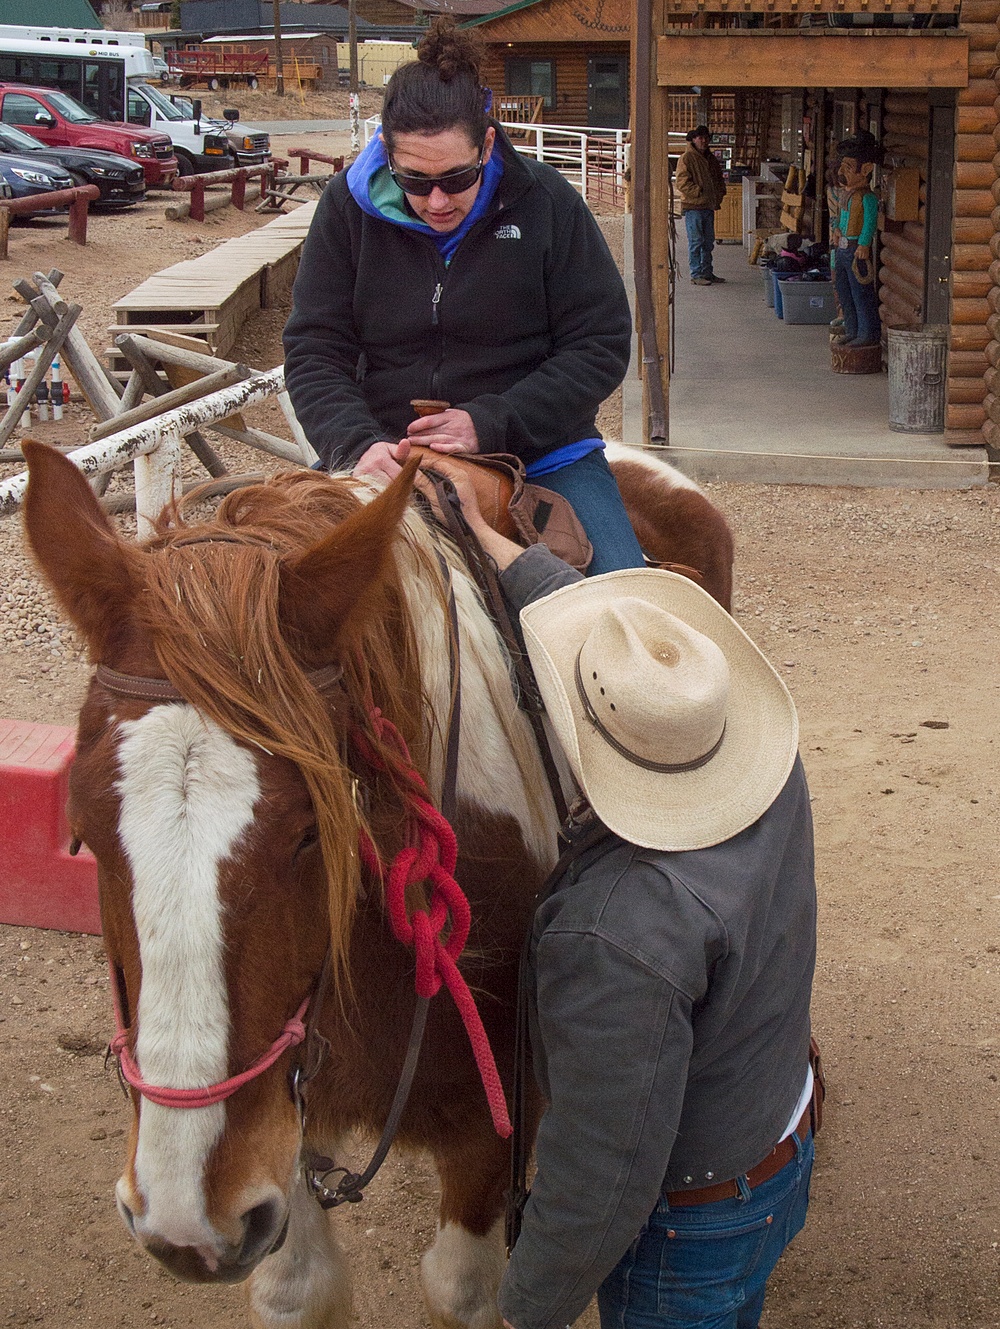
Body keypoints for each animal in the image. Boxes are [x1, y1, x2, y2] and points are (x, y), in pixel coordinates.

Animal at [21, 441, 734, 1329]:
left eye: (309, 829)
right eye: (83, 826)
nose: (187, 1220)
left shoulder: (491, 1122)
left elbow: (462, 1288)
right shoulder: (278, 1114)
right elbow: (297, 1287)